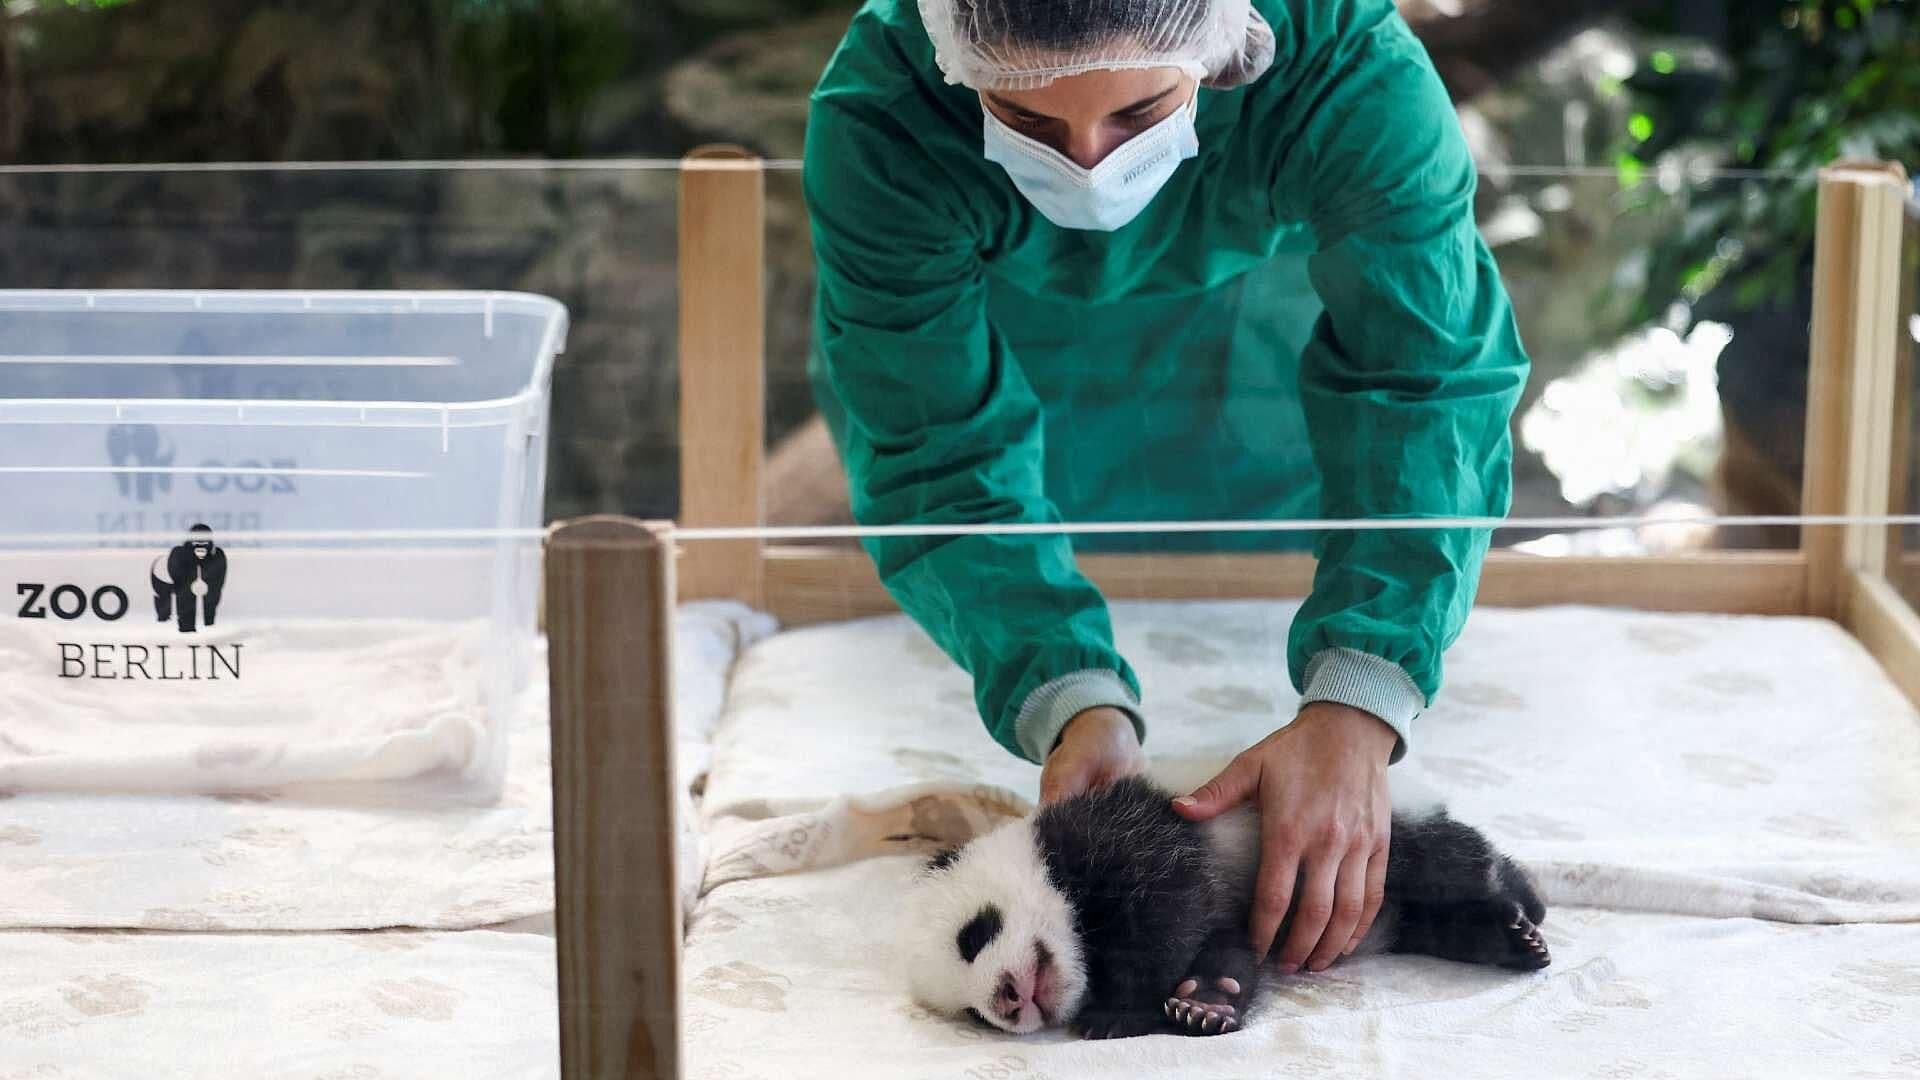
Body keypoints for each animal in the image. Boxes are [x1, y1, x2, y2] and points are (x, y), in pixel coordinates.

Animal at [900, 771, 1549, 1039]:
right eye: (971, 1015)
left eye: (974, 934)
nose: (1007, 1002)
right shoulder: (1233, 916)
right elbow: (1227, 950)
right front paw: (1204, 1004)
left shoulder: (1133, 836)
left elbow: (1169, 911)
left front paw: (1119, 1015)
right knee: (1431, 922)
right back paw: (1507, 941)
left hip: (1367, 845)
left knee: (1450, 861)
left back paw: (1524, 904)